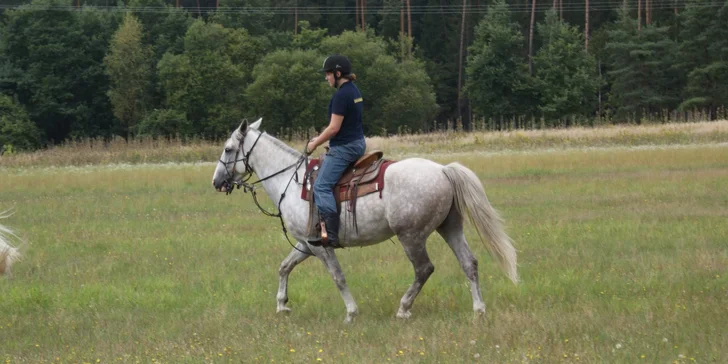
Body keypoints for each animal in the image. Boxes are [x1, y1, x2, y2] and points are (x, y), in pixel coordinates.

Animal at [210, 118, 516, 322]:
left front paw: (351, 312)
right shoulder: (306, 243)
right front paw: (282, 305)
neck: (291, 180)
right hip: (449, 227)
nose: (216, 182)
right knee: (469, 263)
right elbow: (284, 267)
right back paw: (478, 309)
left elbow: (338, 277)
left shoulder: (321, 247)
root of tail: (442, 170)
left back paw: (403, 308)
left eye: (228, 149)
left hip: (411, 236)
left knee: (424, 269)